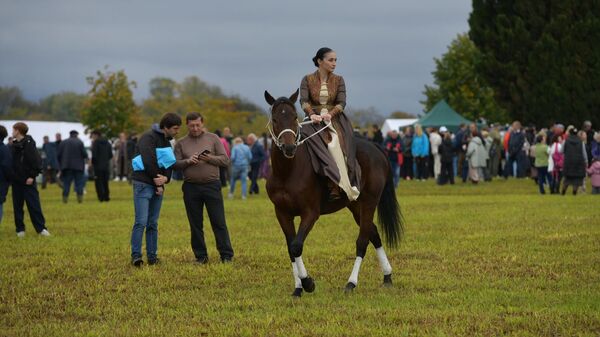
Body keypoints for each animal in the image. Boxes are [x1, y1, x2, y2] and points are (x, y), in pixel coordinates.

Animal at [264, 88, 400, 296]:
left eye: (294, 117)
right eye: (275, 119)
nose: (289, 147)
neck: (288, 172)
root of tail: (375, 147)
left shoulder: (310, 213)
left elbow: (296, 246)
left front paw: (308, 283)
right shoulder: (282, 213)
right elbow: (290, 248)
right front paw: (298, 289)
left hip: (369, 202)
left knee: (362, 241)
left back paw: (351, 283)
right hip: (356, 206)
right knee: (373, 233)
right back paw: (387, 276)